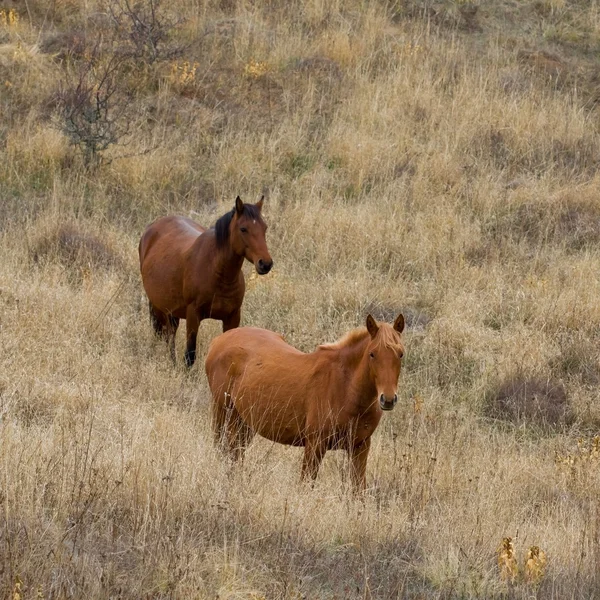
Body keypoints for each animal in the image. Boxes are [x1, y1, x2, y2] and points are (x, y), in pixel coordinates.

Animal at [138, 197, 272, 366]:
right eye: (243, 229)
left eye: (265, 227)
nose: (265, 264)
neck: (218, 273)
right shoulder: (193, 315)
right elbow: (190, 355)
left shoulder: (233, 317)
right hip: (159, 307)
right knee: (167, 336)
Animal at [204, 312, 406, 490]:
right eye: (372, 354)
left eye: (401, 354)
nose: (388, 399)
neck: (345, 387)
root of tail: (219, 340)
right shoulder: (315, 445)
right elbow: (306, 485)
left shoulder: (360, 447)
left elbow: (358, 489)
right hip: (223, 412)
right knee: (223, 448)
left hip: (245, 422)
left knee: (235, 453)